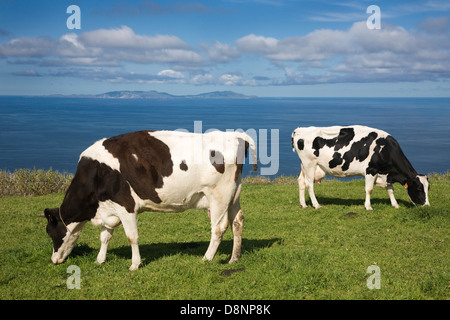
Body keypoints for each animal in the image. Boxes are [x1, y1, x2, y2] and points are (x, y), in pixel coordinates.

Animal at [44, 130, 260, 270]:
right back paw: (234, 258)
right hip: (233, 194)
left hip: (219, 196)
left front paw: (134, 265)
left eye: (50, 232)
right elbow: (105, 236)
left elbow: (132, 236)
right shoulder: (109, 208)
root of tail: (235, 135)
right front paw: (100, 260)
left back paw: (206, 258)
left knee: (218, 227)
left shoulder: (126, 205)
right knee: (237, 221)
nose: (54, 260)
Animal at [290, 125, 430, 210]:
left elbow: (390, 189)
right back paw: (316, 205)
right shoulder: (371, 170)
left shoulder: (384, 173)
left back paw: (303, 204)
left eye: (428, 188)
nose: (427, 205)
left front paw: (395, 204)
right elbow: (369, 189)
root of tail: (299, 130)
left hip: (305, 165)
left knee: (301, 182)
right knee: (309, 184)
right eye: (419, 188)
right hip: (309, 164)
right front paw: (368, 206)